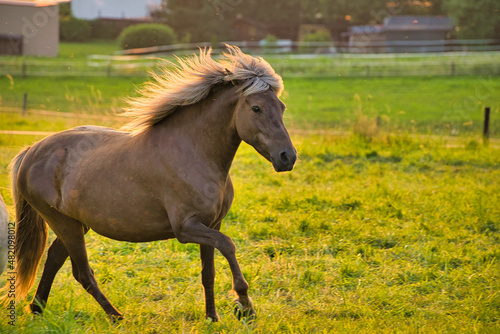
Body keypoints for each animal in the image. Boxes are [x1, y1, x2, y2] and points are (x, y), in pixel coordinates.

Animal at [3, 45, 294, 320]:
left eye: (282, 108)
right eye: (256, 108)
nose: (287, 157)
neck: (194, 152)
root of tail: (31, 151)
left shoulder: (211, 224)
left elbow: (208, 273)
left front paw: (213, 317)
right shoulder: (186, 228)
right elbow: (228, 245)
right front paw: (245, 305)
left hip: (76, 223)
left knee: (54, 259)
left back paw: (38, 309)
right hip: (64, 223)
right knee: (82, 272)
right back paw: (116, 317)